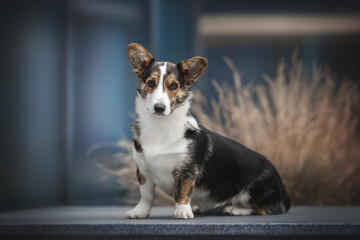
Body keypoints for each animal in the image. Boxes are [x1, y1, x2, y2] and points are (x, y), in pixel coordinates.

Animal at [124, 43, 290, 219]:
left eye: (173, 86)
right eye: (151, 83)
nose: (159, 108)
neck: (160, 126)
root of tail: (284, 193)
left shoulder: (187, 170)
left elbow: (182, 192)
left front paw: (182, 211)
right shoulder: (144, 171)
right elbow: (146, 195)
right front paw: (140, 211)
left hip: (257, 189)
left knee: (263, 208)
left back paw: (235, 209)